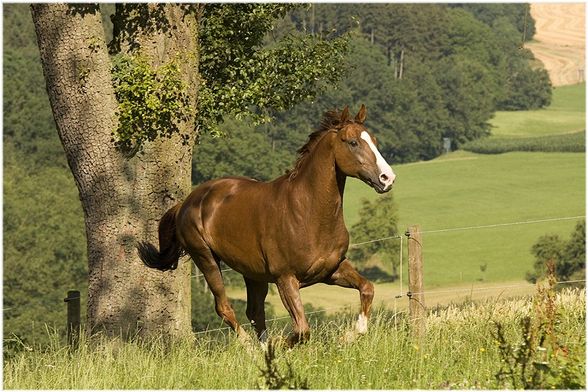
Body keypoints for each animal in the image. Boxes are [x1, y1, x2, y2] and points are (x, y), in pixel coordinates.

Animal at [138, 105, 398, 346]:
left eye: (374, 141)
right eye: (353, 142)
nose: (387, 178)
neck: (308, 213)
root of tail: (186, 202)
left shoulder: (332, 270)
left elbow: (367, 288)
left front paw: (349, 335)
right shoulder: (286, 279)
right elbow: (302, 330)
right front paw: (280, 345)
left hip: (253, 274)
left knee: (255, 312)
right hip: (206, 259)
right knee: (225, 308)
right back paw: (252, 350)